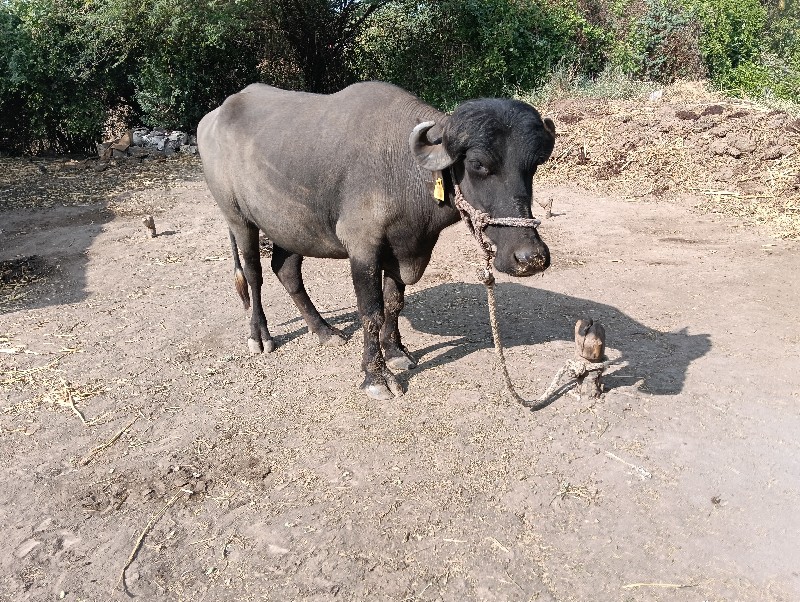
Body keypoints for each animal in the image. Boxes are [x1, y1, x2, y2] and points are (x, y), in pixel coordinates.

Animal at [197, 81, 552, 398]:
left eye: (533, 165)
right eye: (478, 164)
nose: (530, 257)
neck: (405, 173)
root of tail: (211, 119)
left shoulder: (405, 248)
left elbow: (394, 303)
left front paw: (395, 351)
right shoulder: (363, 249)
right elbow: (371, 313)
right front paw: (375, 376)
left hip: (292, 226)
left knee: (286, 270)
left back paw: (323, 330)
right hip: (237, 217)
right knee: (253, 274)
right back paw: (260, 335)